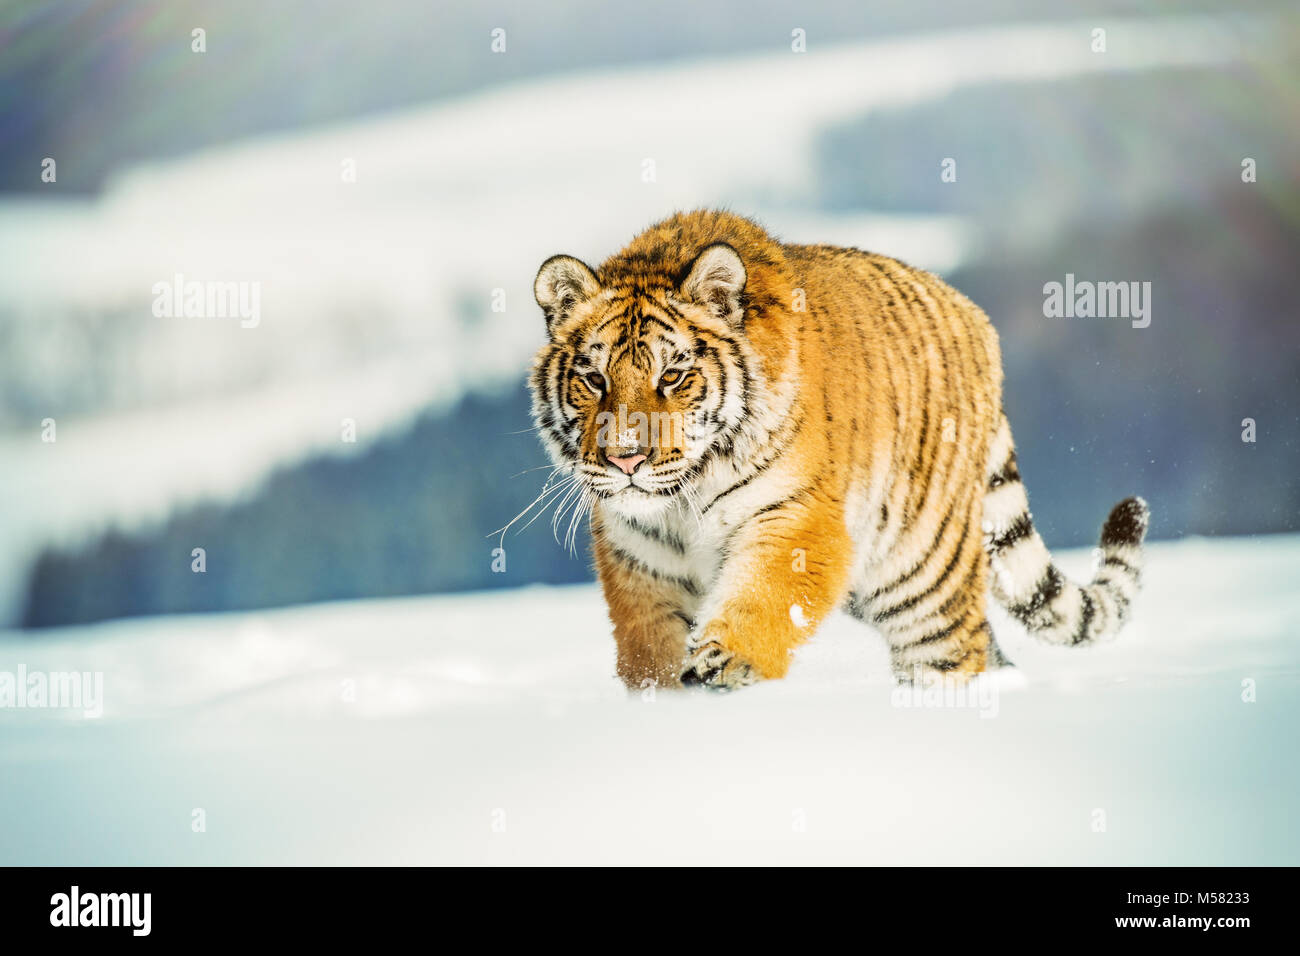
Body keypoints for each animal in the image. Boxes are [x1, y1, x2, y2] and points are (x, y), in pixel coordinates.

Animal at [527, 209, 1149, 686]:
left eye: (673, 377)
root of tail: (977, 319)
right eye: (594, 380)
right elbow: (649, 650)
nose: (625, 459)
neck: (684, 498)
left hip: (924, 579)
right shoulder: (641, 559)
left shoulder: (793, 517)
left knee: (959, 650)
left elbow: (762, 597)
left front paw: (726, 662)